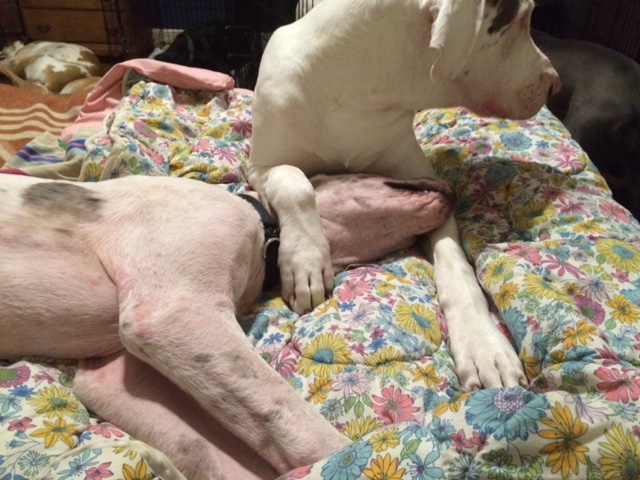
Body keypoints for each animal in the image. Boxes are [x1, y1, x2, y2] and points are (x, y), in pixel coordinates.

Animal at [249, 0, 561, 392]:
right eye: (523, 18)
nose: (555, 83)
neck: (359, 94)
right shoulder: (260, 168)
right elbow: (294, 180)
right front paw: (306, 261)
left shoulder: (427, 187)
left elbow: (456, 267)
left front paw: (483, 344)